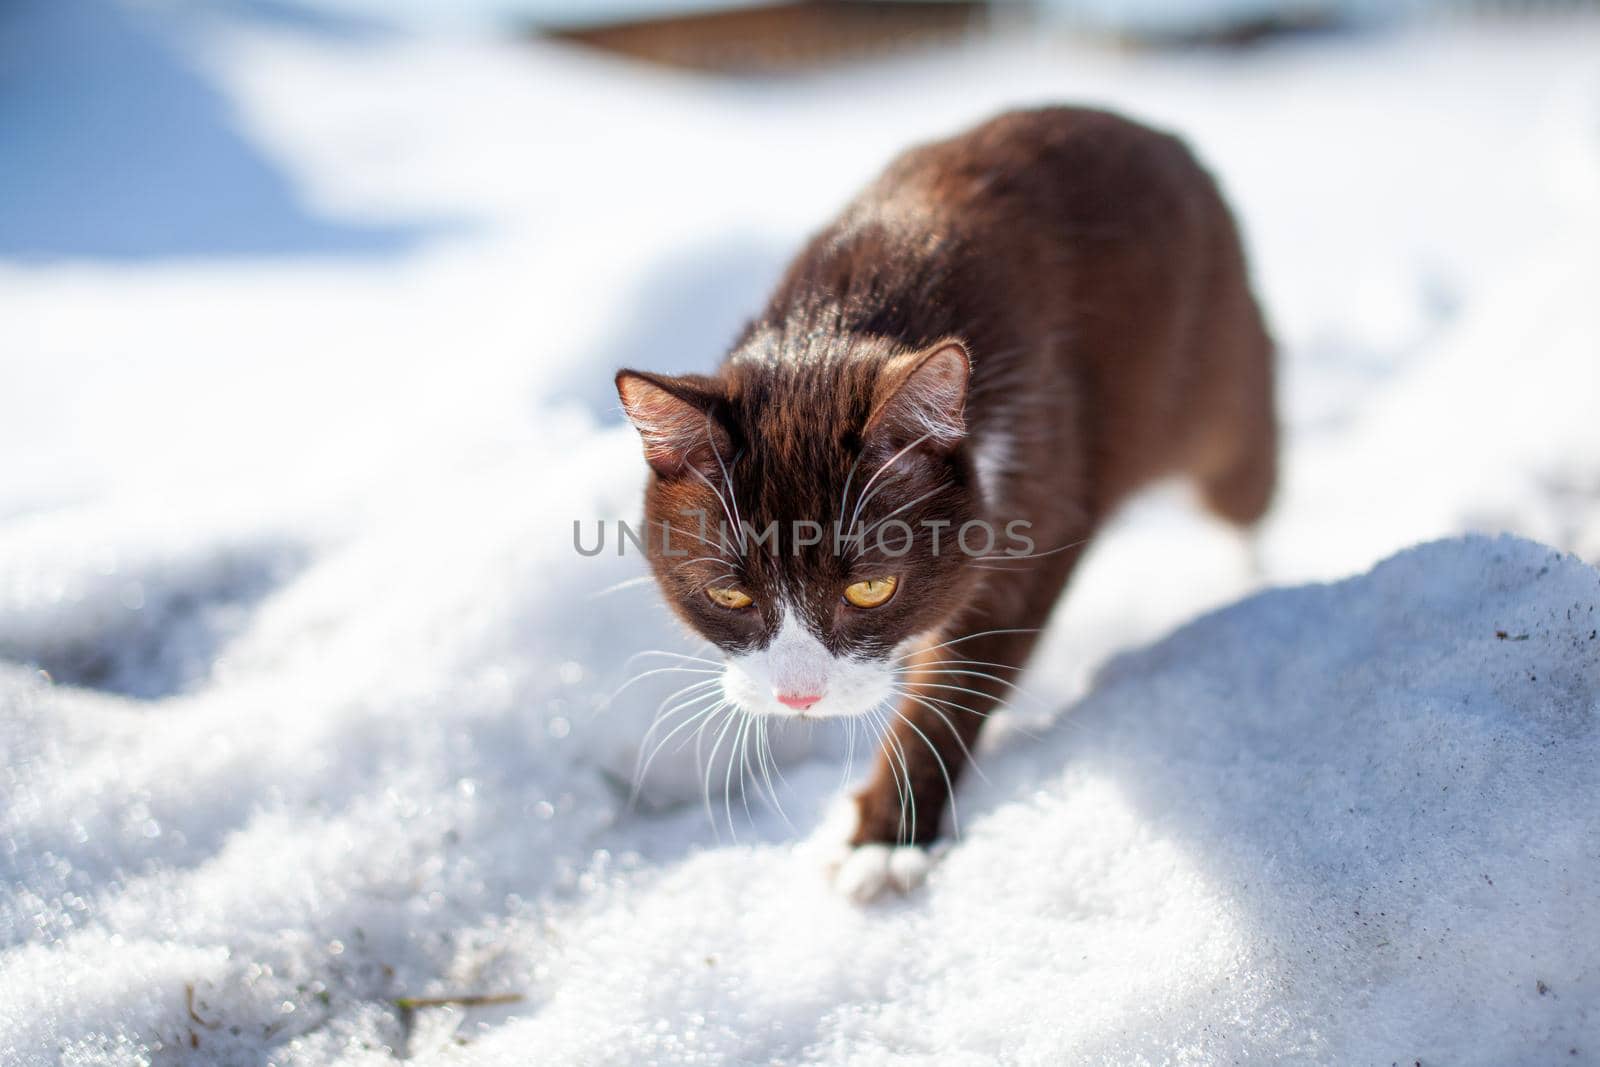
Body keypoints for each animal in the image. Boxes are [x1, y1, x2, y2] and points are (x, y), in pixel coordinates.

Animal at [611, 106, 1273, 902]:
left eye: (871, 588)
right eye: (729, 596)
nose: (801, 697)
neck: (841, 324)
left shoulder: (1040, 474)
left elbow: (962, 673)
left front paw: (883, 836)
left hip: (1222, 363)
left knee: (1240, 490)